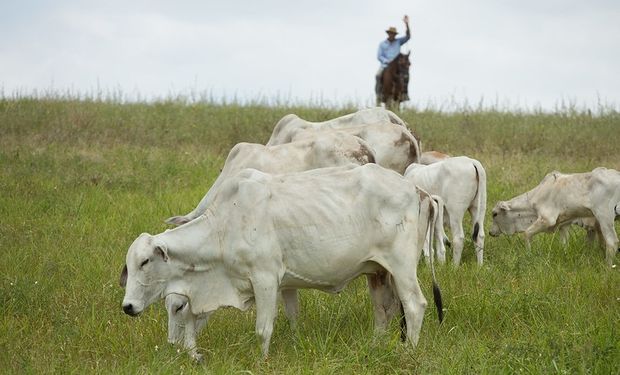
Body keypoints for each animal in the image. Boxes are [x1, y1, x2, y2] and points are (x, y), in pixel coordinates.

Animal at [120, 165, 440, 362]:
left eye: (145, 261)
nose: (128, 306)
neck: (224, 227)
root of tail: (418, 190)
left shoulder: (264, 278)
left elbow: (263, 329)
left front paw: (262, 360)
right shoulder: (283, 284)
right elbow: (291, 317)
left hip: (402, 267)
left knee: (414, 305)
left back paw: (408, 352)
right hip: (378, 272)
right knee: (384, 310)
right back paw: (375, 346)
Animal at [490, 167, 620, 268]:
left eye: (494, 214)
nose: (490, 232)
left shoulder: (547, 219)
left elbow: (526, 233)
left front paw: (528, 254)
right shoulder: (564, 224)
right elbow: (564, 244)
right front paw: (565, 256)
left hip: (604, 216)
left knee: (612, 242)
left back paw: (607, 268)